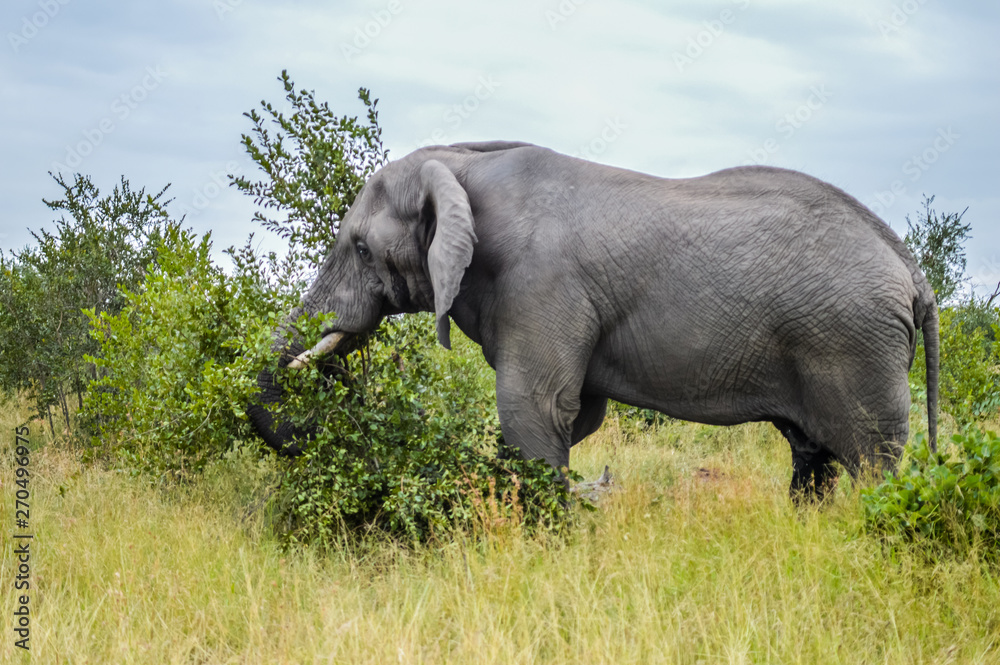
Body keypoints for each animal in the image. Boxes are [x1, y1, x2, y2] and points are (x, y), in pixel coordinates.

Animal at [248, 140, 939, 500]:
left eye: (362, 249)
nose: (339, 384)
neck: (459, 162)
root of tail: (914, 274)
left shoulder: (542, 283)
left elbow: (533, 407)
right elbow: (575, 414)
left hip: (854, 344)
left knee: (871, 461)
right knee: (812, 461)